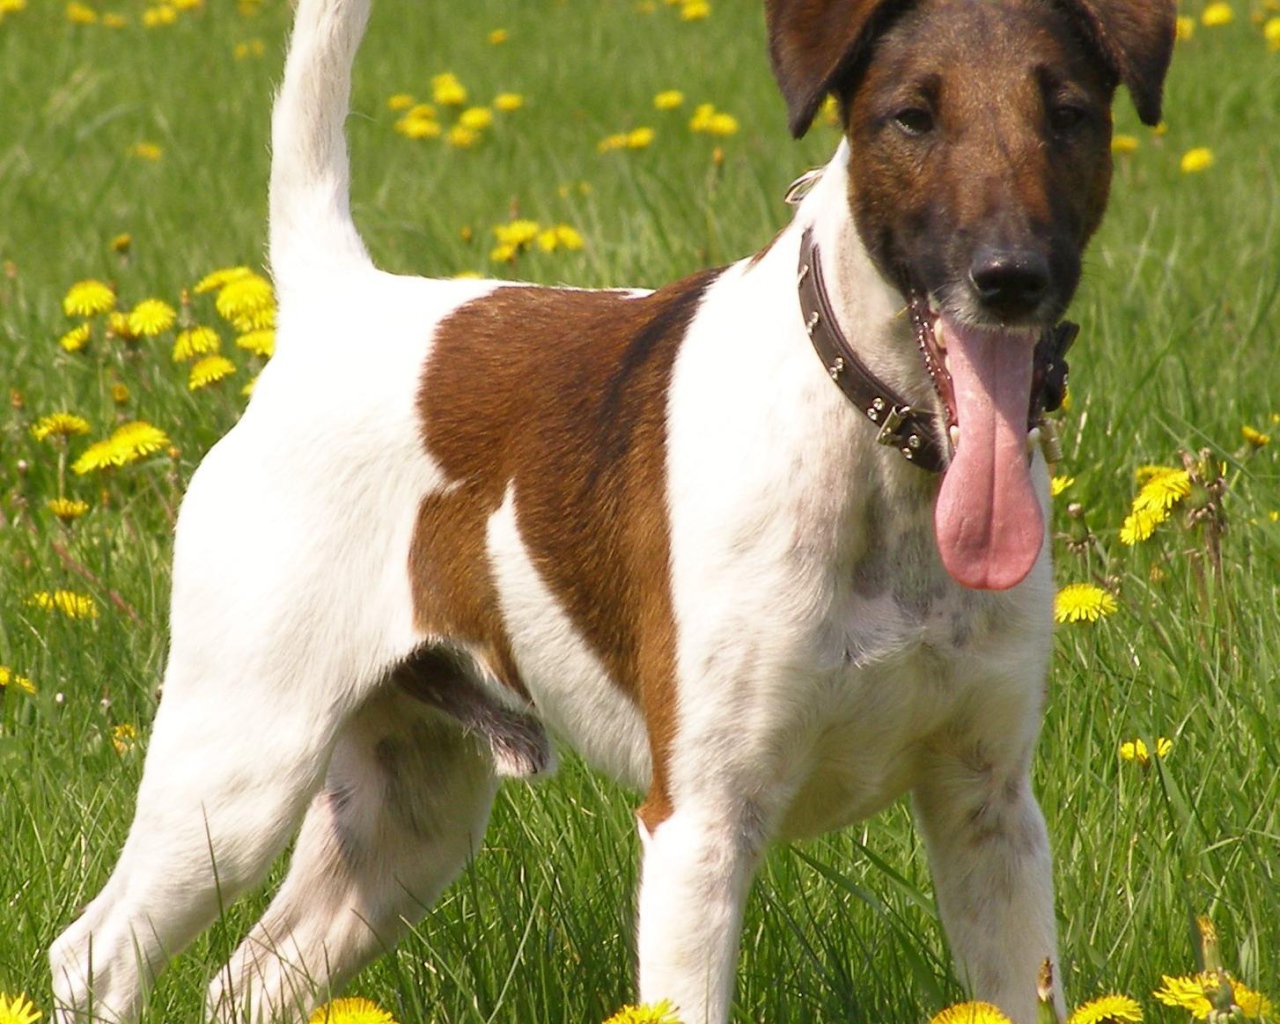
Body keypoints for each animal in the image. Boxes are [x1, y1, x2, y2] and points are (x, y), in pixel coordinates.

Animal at [47, 0, 1172, 1018]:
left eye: (1069, 114)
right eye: (911, 116)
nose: (1011, 275)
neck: (877, 449)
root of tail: (336, 307)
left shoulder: (989, 816)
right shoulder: (698, 826)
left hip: (406, 818)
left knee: (248, 981)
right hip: (239, 768)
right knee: (94, 956)